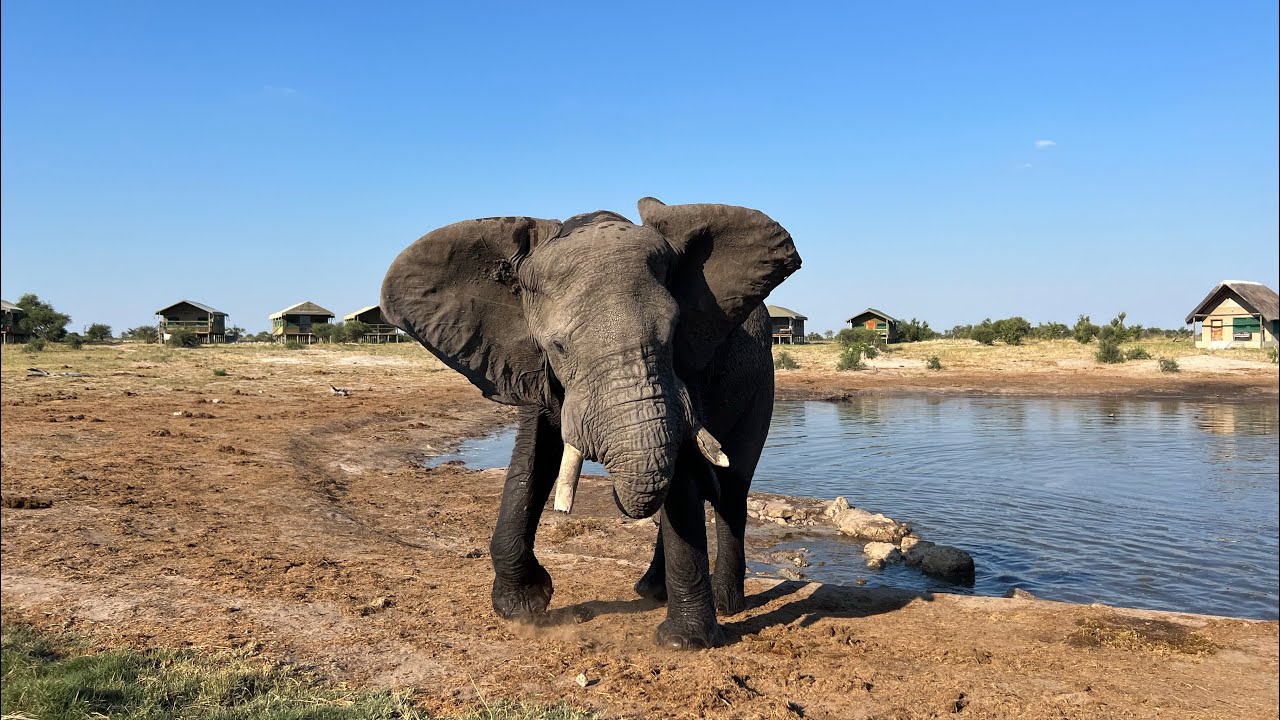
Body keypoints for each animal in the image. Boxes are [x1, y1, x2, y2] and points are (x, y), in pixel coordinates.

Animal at [380, 197, 801, 648]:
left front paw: (683, 642)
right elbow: (532, 458)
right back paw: (650, 591)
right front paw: (524, 607)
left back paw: (724, 603)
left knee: (732, 489)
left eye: (673, 334)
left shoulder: (692, 371)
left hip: (762, 385)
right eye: (559, 347)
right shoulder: (529, 362)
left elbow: (684, 480)